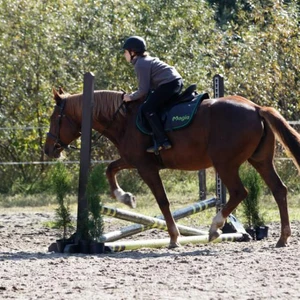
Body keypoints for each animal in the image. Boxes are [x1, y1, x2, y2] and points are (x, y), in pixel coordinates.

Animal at [44, 88, 300, 247]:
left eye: (54, 118)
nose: (48, 150)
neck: (123, 119)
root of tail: (256, 108)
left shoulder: (146, 168)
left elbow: (163, 201)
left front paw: (174, 238)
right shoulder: (134, 160)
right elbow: (110, 169)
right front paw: (125, 198)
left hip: (225, 164)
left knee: (240, 192)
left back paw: (215, 227)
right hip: (260, 161)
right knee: (279, 190)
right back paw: (283, 238)